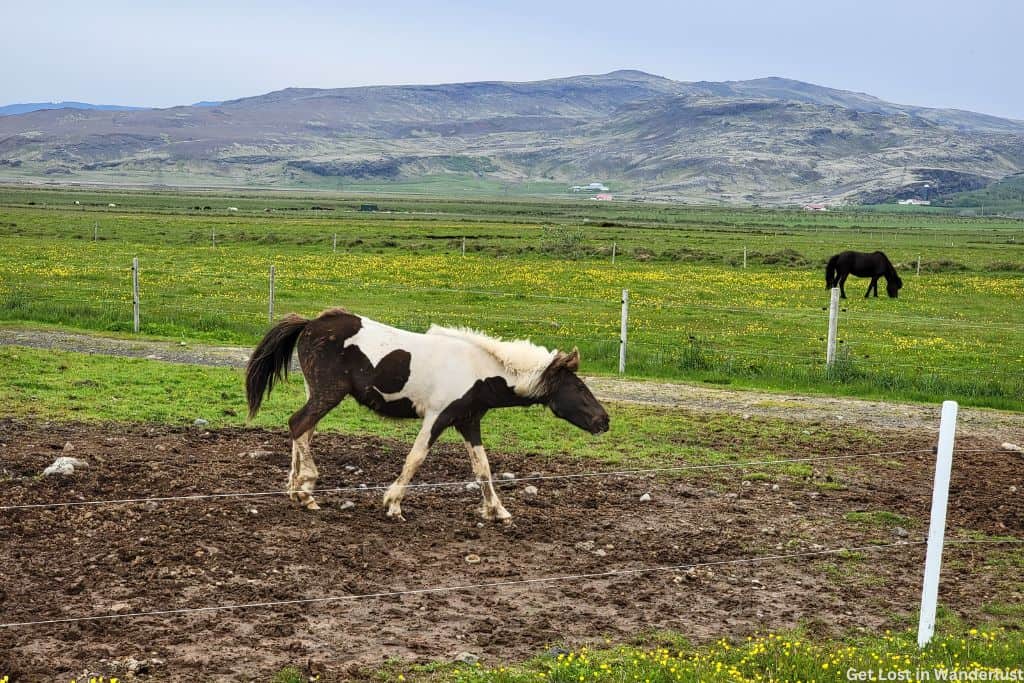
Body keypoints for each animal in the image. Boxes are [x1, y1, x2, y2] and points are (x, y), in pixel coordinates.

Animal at [245, 307, 610, 523]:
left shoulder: (468, 421)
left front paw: (498, 511)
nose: (604, 421)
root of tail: (310, 324)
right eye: (579, 389)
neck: (479, 370)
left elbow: (483, 468)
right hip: (328, 393)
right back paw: (306, 490)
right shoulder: (438, 416)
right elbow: (416, 457)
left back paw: (297, 491)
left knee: (303, 431)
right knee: (298, 424)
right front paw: (393, 504)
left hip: (318, 394)